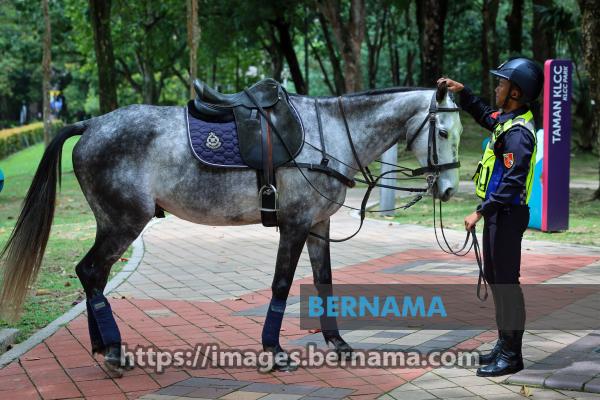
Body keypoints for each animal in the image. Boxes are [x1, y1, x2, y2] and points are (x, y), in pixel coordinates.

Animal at [0, 82, 462, 374]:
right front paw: (274, 350)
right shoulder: (294, 225)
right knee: (91, 271)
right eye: (442, 131)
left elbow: (325, 280)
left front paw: (338, 343)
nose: (449, 189)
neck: (328, 134)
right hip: (123, 222)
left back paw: (102, 344)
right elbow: (281, 285)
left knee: (91, 275)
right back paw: (112, 349)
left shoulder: (319, 224)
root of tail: (92, 124)